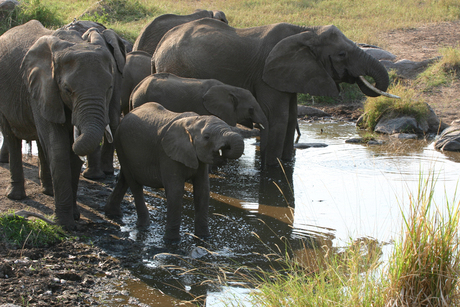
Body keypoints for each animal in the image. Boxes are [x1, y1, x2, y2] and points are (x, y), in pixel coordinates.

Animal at [0, 20, 125, 229]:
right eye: (67, 89)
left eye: (109, 88)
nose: (91, 33)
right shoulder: (42, 89)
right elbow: (58, 147)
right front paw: (65, 225)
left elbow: (69, 151)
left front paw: (74, 216)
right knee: (12, 137)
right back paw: (16, 196)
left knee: (40, 141)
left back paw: (49, 191)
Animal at [105, 102, 246, 242]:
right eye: (207, 137)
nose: (224, 150)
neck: (192, 122)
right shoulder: (167, 155)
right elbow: (176, 191)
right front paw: (172, 240)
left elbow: (203, 191)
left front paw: (204, 237)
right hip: (120, 143)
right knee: (134, 185)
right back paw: (143, 225)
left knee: (124, 179)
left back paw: (113, 214)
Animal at [154, 17, 392, 168]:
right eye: (342, 54)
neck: (306, 31)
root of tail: (159, 46)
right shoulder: (266, 74)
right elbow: (279, 116)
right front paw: (272, 169)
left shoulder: (292, 73)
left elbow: (291, 115)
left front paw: (287, 163)